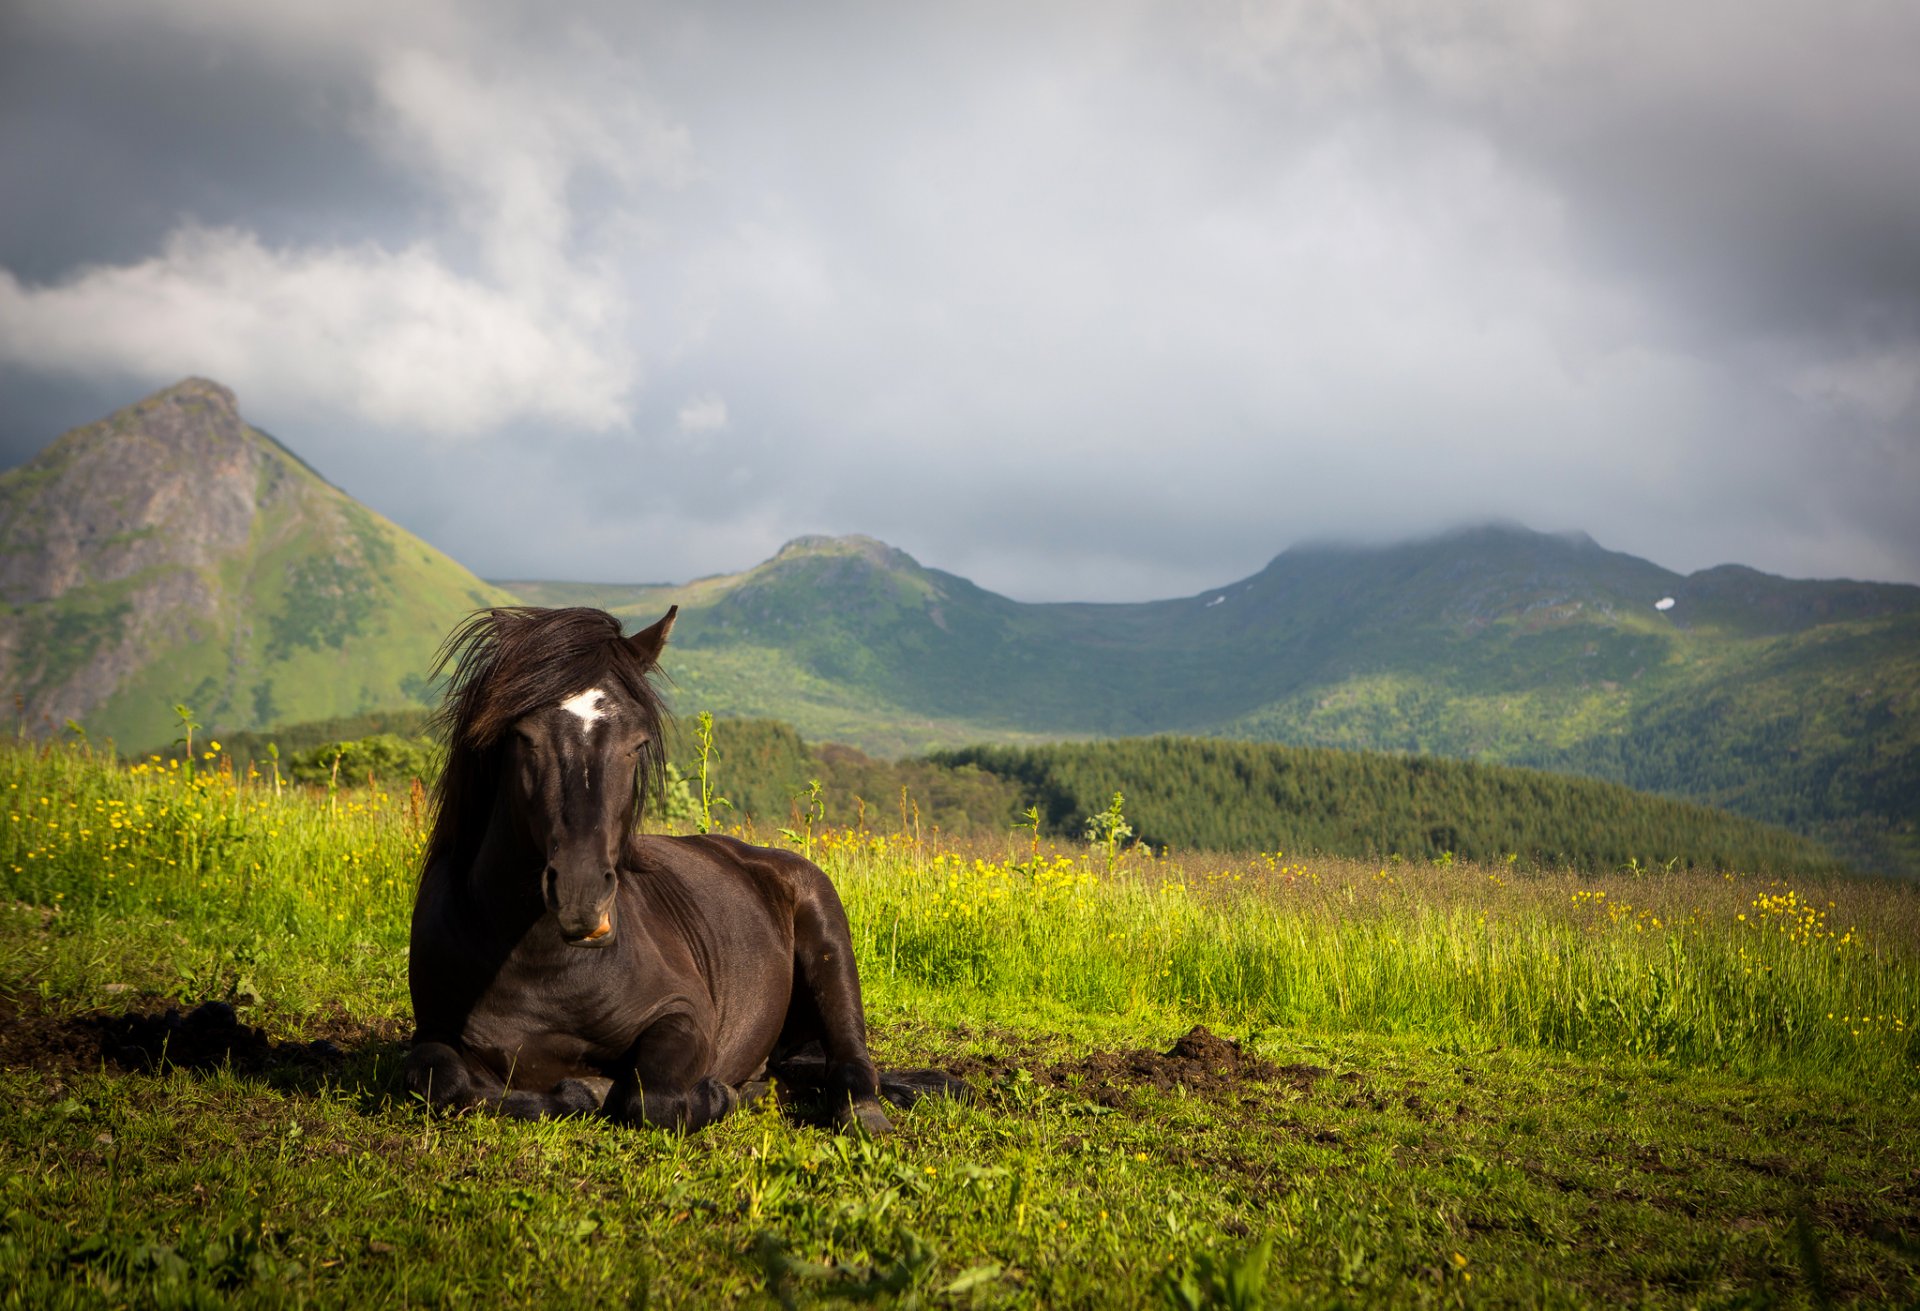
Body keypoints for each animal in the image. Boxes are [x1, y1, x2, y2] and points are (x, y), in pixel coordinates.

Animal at [403, 605, 900, 1133]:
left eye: (637, 743)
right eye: (524, 736)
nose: (581, 895)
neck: (540, 965)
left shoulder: (683, 1014)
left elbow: (652, 1097)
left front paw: (712, 1095)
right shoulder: (433, 1030)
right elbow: (441, 1080)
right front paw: (579, 1090)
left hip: (829, 944)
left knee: (850, 1059)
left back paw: (856, 1112)